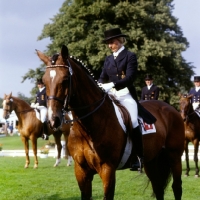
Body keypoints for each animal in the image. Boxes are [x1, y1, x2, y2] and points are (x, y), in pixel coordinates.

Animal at [36, 45, 184, 200]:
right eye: (44, 81)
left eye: (65, 79)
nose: (53, 120)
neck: (88, 128)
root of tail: (170, 108)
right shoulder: (81, 171)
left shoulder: (107, 169)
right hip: (151, 161)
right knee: (158, 188)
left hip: (174, 157)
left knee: (176, 187)